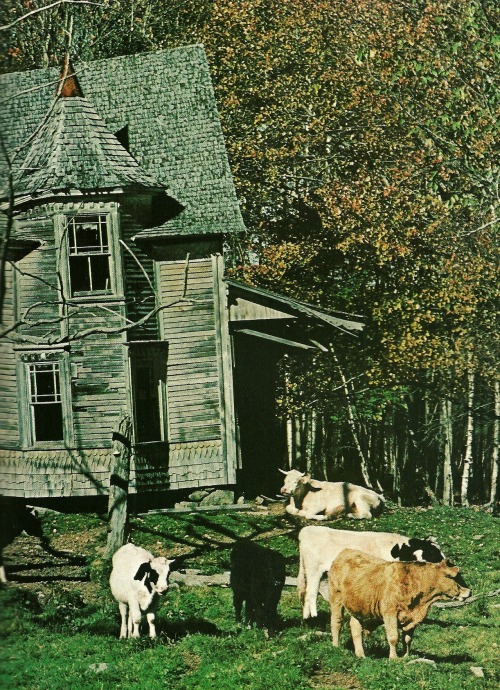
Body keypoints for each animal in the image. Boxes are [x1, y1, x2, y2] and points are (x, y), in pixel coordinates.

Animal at [296, 524, 446, 616]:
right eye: (433, 553)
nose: (446, 562)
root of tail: (306, 530)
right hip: (313, 569)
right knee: (311, 593)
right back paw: (314, 617)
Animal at [326, 548, 470, 656]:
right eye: (455, 577)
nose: (469, 591)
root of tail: (345, 551)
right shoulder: (390, 613)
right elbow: (393, 637)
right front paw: (394, 658)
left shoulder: (412, 619)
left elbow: (407, 639)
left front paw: (406, 656)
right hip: (336, 598)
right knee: (336, 622)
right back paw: (336, 646)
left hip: (359, 607)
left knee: (355, 626)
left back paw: (361, 654)